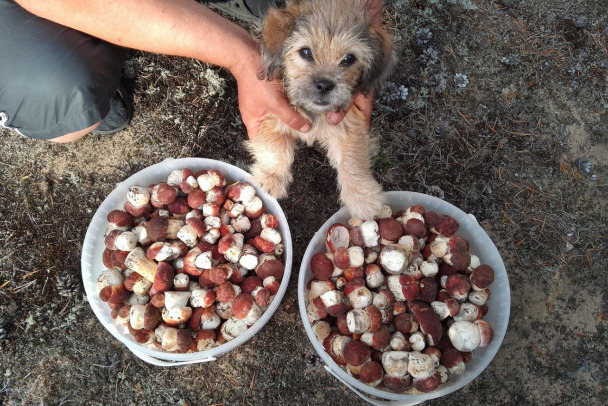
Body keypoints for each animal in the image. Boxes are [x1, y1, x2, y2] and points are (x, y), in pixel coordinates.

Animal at [247, 0, 394, 220]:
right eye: (306, 52)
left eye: (349, 58)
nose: (324, 85)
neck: (314, 112)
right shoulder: (272, 114)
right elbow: (275, 148)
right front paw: (271, 178)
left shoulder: (350, 125)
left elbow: (353, 160)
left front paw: (362, 198)